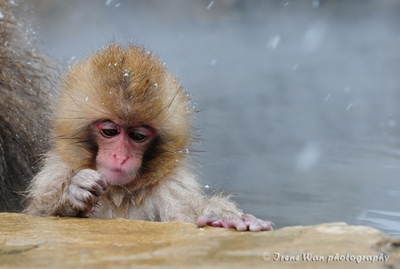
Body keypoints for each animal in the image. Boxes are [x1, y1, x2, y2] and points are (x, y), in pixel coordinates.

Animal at [25, 43, 272, 230]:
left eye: (137, 136)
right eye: (110, 131)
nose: (121, 157)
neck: (118, 193)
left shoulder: (174, 186)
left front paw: (222, 214)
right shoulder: (55, 173)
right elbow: (34, 215)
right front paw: (71, 194)